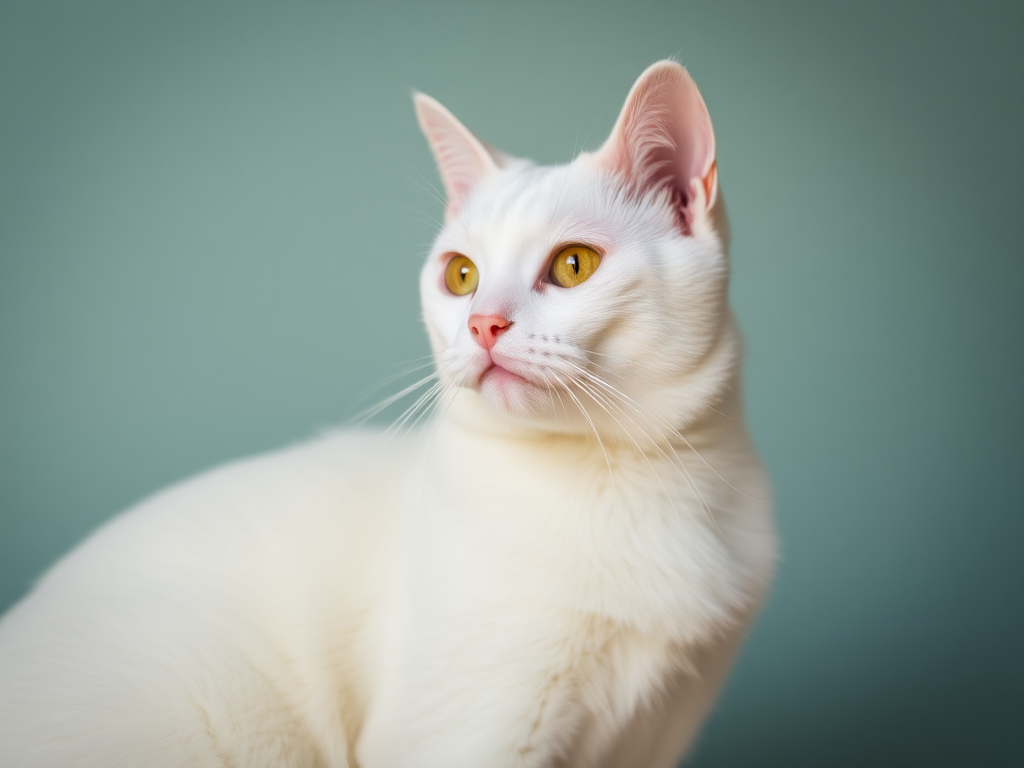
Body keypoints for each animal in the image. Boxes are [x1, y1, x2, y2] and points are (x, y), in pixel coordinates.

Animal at [0, 61, 770, 768]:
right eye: (460, 275)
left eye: (574, 265)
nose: (484, 324)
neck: (626, 476)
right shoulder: (463, 736)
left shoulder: (660, 730)